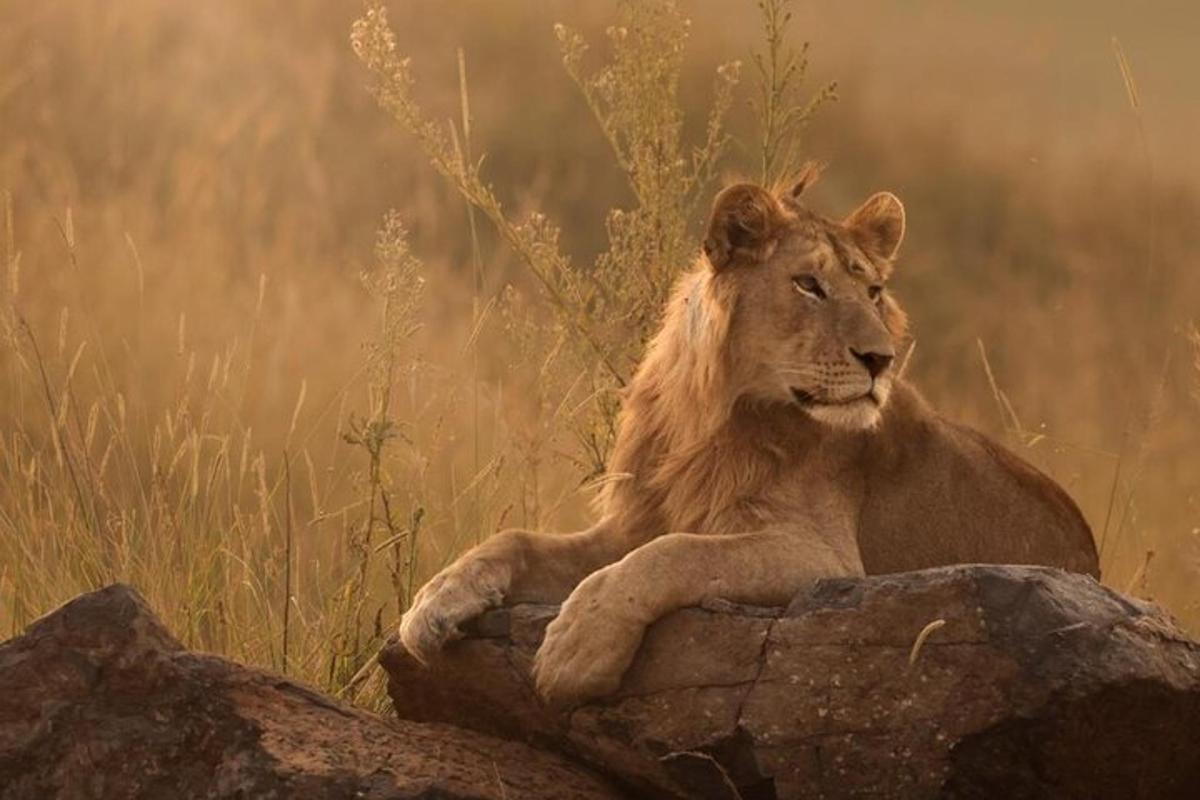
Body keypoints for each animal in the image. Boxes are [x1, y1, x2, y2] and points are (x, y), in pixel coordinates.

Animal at [399, 167, 1100, 707]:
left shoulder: (822, 556)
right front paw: (435, 602)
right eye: (809, 284)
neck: (711, 416)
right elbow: (517, 539)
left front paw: (576, 648)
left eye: (874, 291)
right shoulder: (632, 524)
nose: (881, 359)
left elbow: (674, 555)